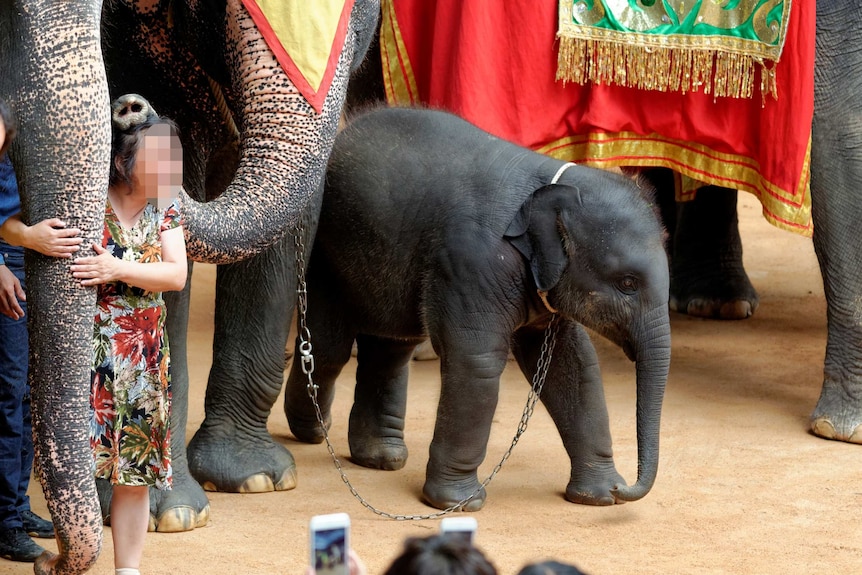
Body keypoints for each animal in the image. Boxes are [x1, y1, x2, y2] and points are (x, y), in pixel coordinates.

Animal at [286, 106, 672, 510]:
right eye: (627, 283)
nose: (624, 489)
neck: (551, 182)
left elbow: (572, 363)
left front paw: (597, 497)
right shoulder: (471, 261)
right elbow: (476, 360)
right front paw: (458, 504)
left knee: (391, 346)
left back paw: (380, 458)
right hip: (325, 254)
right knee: (330, 348)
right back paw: (313, 431)